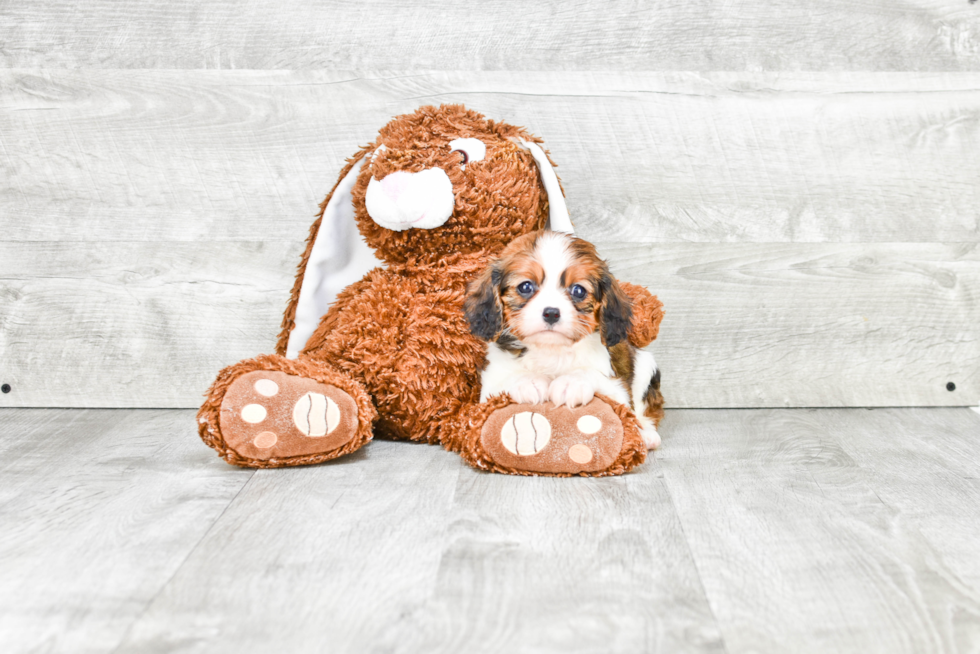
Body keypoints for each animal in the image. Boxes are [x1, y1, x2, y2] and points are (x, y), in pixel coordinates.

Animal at [464, 231, 664, 452]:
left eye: (578, 290)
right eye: (525, 287)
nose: (551, 313)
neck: (551, 350)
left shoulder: (618, 392)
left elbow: (594, 379)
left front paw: (572, 382)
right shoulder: (489, 387)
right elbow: (508, 379)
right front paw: (528, 381)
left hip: (645, 367)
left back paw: (647, 435)